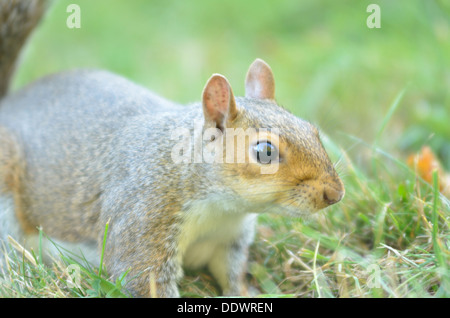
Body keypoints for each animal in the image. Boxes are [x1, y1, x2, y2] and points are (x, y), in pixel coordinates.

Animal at [0, 0, 344, 298]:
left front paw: (247, 292)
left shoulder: (229, 240)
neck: (221, 208)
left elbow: (232, 273)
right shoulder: (143, 218)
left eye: (312, 130)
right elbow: (144, 278)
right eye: (264, 152)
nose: (335, 194)